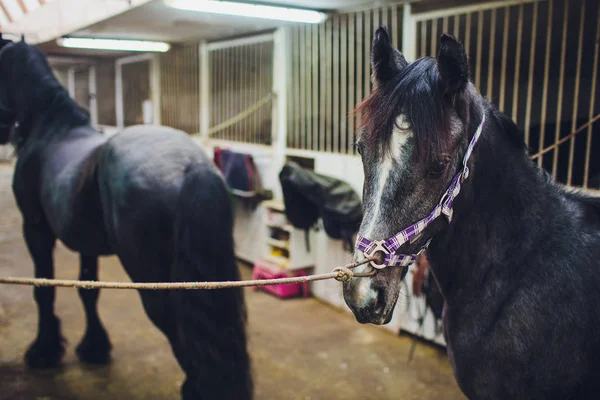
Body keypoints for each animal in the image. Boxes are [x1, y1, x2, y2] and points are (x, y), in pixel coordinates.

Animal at [0, 39, 252, 398]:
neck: (52, 129)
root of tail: (191, 167)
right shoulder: (85, 245)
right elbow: (88, 289)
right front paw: (94, 348)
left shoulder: (36, 230)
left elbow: (43, 289)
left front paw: (44, 352)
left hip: (153, 285)